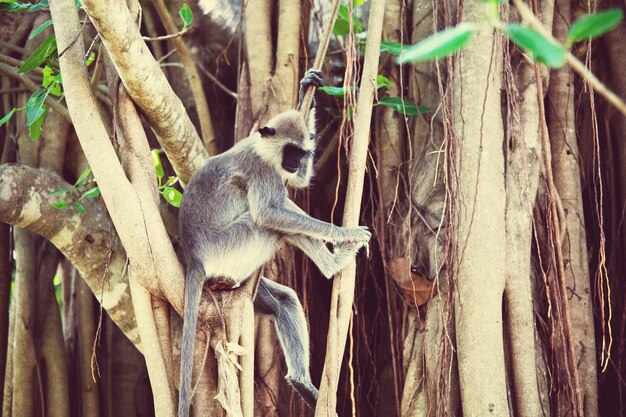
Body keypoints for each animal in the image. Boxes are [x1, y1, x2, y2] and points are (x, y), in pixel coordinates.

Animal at [176, 70, 370, 414]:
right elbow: (269, 213)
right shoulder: (263, 171)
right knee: (268, 225)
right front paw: (344, 234)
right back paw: (334, 264)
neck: (259, 148)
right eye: (289, 151)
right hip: (229, 249)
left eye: (301, 154)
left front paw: (308, 90)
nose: (294, 162)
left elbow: (299, 184)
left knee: (284, 299)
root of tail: (194, 258)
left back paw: (302, 384)